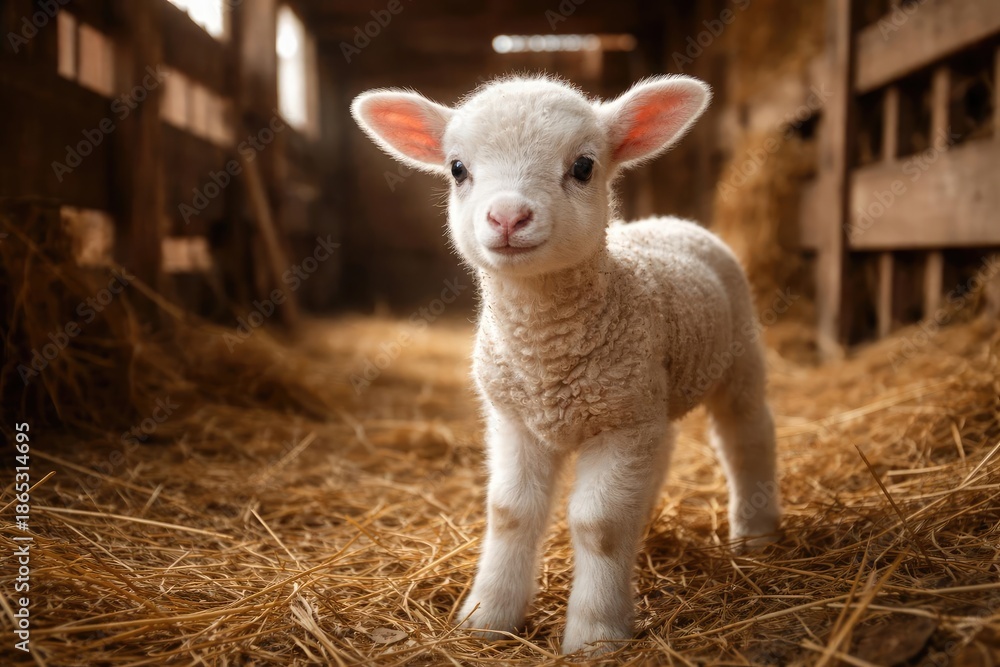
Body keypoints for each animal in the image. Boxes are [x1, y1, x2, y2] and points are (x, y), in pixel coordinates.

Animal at [351, 74, 781, 655]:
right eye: (457, 168)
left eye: (582, 166)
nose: (508, 217)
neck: (546, 359)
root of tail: (671, 220)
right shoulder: (518, 419)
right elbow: (510, 513)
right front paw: (487, 617)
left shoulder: (619, 423)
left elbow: (599, 524)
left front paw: (596, 634)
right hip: (650, 394)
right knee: (666, 447)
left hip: (735, 358)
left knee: (747, 434)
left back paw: (757, 532)